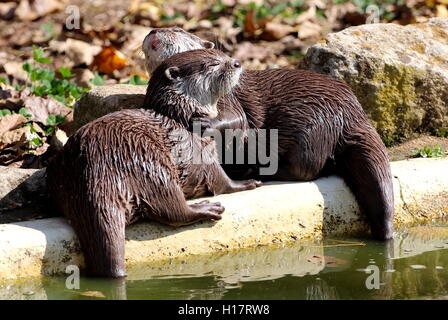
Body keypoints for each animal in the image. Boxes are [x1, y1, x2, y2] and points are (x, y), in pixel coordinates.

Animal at [45, 48, 260, 278]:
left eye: (222, 54)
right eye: (212, 64)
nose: (236, 63)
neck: (185, 117)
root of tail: (94, 174)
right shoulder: (198, 150)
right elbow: (220, 179)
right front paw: (244, 183)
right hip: (154, 168)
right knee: (173, 210)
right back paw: (207, 208)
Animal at [142, 28, 394, 240]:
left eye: (177, 30)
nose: (154, 31)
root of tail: (353, 110)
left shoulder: (231, 99)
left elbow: (237, 119)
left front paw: (207, 122)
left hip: (312, 128)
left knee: (305, 169)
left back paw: (259, 171)